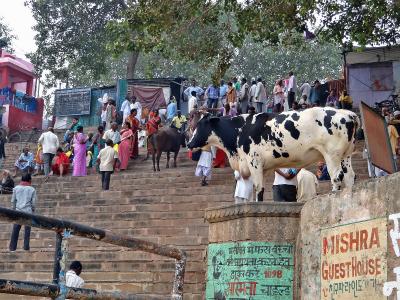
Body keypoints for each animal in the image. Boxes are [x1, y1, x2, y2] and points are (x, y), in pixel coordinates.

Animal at [188, 107, 360, 202]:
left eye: (200, 125)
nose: (189, 143)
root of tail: (348, 114)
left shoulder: (254, 162)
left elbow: (258, 188)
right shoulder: (261, 167)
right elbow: (257, 188)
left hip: (332, 155)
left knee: (336, 176)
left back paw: (333, 196)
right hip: (346, 155)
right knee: (350, 176)